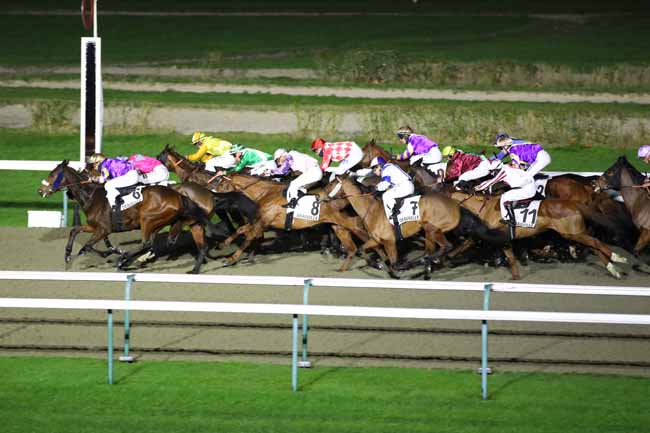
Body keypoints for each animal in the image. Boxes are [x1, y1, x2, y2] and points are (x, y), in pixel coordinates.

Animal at [38, 159, 218, 274]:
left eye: (52, 174)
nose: (40, 190)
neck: (92, 195)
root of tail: (179, 195)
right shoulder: (94, 226)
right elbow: (74, 230)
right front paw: (68, 255)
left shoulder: (104, 229)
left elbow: (88, 246)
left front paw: (114, 252)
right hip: (172, 222)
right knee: (192, 245)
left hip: (148, 219)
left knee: (147, 243)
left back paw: (125, 260)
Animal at [448, 190, 624, 278]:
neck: (485, 208)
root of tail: (573, 203)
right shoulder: (499, 237)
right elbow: (510, 257)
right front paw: (515, 276)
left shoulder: (495, 234)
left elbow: (468, 242)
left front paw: (449, 256)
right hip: (574, 233)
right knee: (594, 246)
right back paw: (613, 269)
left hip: (572, 233)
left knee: (596, 243)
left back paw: (618, 258)